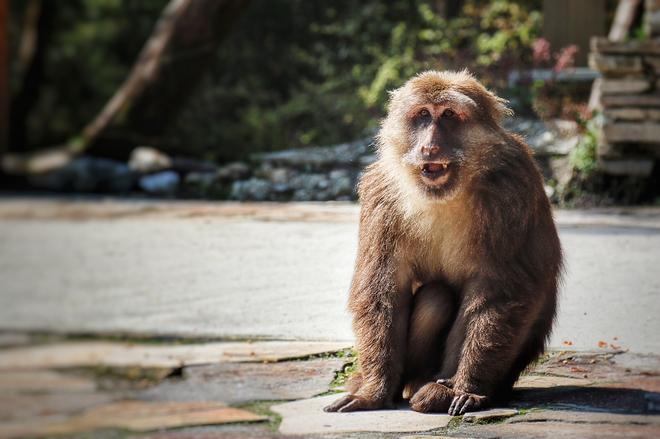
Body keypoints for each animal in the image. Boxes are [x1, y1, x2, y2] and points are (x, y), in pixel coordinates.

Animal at [322, 71, 560, 416]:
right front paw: (373, 390)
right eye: (423, 115)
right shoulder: (381, 191)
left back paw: (443, 387)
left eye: (448, 116)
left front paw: (467, 388)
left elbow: (500, 293)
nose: (430, 146)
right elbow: (381, 291)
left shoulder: (512, 187)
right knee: (436, 296)